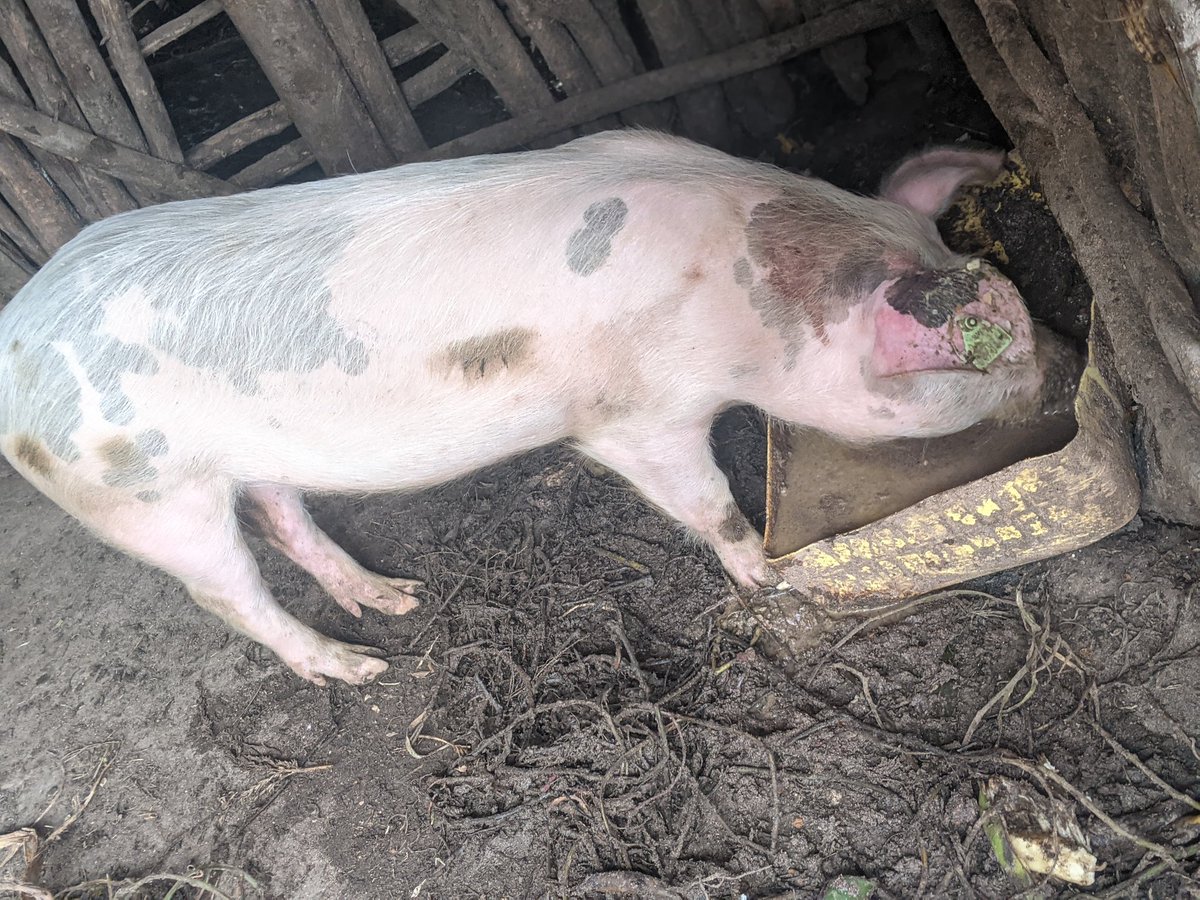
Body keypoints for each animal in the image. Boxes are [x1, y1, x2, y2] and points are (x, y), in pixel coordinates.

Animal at [0, 131, 1049, 685]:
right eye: (994, 363)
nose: (1053, 372)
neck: (751, 294)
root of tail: (14, 335)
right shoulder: (637, 416)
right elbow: (705, 502)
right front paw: (765, 578)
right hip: (143, 496)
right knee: (225, 592)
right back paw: (365, 669)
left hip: (244, 463)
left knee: (282, 515)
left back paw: (397, 600)